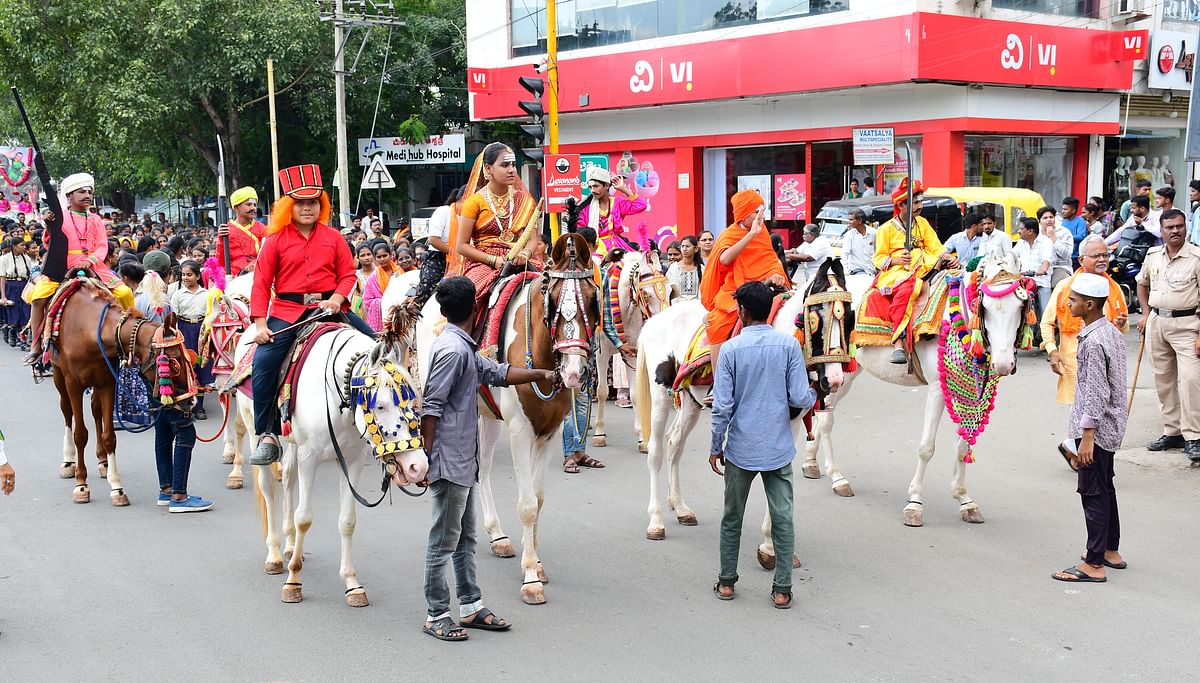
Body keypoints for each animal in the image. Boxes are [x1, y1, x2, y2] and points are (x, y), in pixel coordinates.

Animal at [234, 321, 427, 604]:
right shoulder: (309, 457)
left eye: (412, 400)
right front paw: (293, 581)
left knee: (288, 478)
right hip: (253, 427)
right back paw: (275, 556)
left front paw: (351, 582)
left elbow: (347, 520)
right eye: (380, 406)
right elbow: (304, 517)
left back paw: (291, 546)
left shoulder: (353, 460)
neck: (336, 399)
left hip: (293, 443)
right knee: (268, 486)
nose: (418, 466)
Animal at [386, 232, 600, 602]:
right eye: (553, 301)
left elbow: (538, 500)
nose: (574, 371)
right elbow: (527, 504)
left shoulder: (549, 432)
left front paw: (536, 561)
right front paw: (530, 578)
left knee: (480, 469)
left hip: (485, 414)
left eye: (592, 299)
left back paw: (497, 535)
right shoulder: (519, 430)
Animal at [592, 247, 676, 448]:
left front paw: (642, 438)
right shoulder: (601, 353)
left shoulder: (632, 353)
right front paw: (599, 433)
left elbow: (635, 393)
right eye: (646, 294)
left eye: (670, 291)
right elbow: (602, 391)